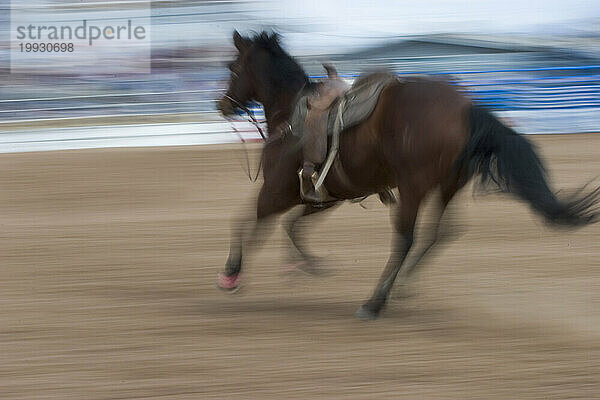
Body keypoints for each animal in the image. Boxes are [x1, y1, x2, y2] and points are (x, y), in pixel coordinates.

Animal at [214, 30, 596, 322]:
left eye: (232, 65)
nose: (223, 104)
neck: (290, 114)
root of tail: (466, 107)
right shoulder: (324, 195)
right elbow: (293, 226)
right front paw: (306, 265)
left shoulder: (275, 191)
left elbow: (245, 223)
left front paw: (231, 274)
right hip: (448, 185)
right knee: (440, 233)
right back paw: (402, 285)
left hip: (414, 186)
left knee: (406, 237)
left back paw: (374, 302)